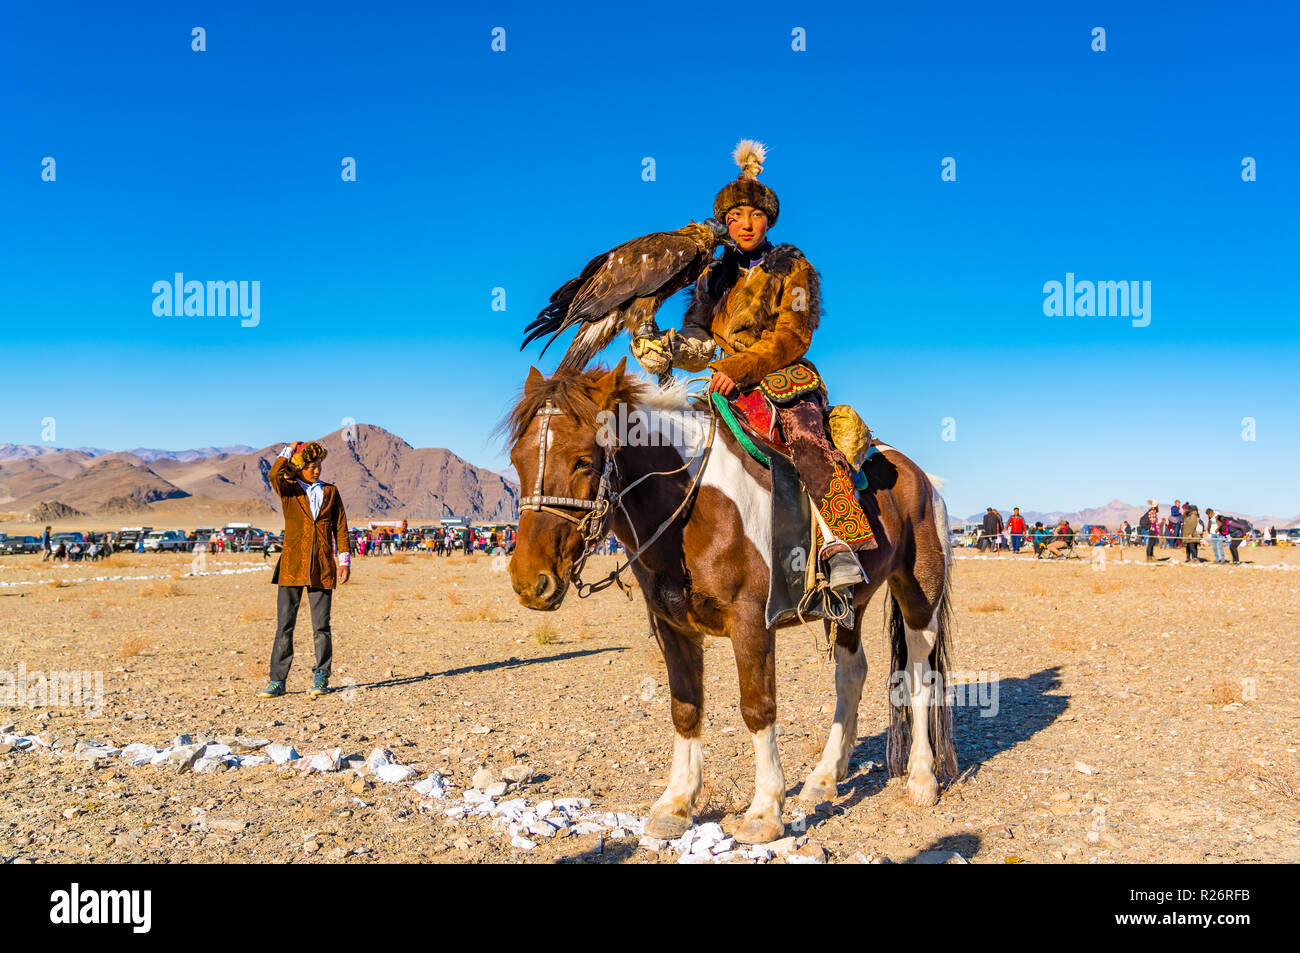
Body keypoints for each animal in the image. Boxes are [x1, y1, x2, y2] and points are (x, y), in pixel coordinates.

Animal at [504, 358, 956, 842]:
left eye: (584, 461)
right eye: (516, 460)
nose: (530, 581)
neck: (694, 508)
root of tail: (923, 478)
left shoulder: (751, 622)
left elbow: (757, 708)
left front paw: (764, 812)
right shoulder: (671, 625)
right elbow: (685, 707)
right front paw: (676, 804)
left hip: (919, 595)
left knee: (920, 674)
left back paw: (922, 778)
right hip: (847, 605)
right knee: (851, 675)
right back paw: (824, 778)